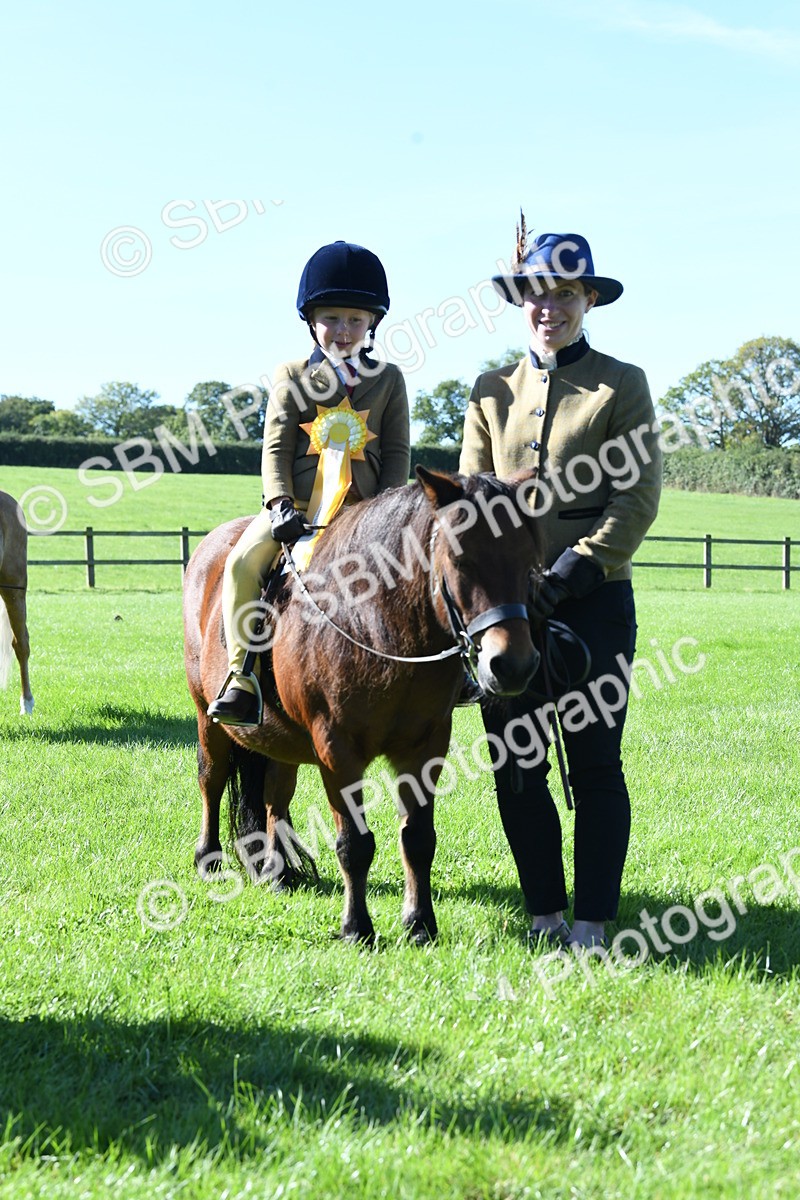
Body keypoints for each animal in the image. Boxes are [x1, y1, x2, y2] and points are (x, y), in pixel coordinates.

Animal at [183, 466, 543, 944]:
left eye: (528, 562)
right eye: (461, 561)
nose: (513, 665)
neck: (376, 627)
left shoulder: (426, 746)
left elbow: (418, 838)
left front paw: (419, 924)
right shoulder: (337, 750)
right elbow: (354, 843)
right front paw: (357, 928)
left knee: (276, 795)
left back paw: (277, 872)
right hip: (207, 715)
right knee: (212, 778)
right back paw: (209, 858)